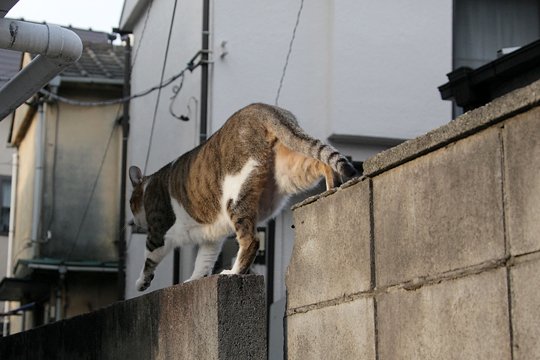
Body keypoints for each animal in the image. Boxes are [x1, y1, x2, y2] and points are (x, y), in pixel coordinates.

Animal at [129, 102, 356, 292]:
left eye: (131, 203)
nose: (133, 221)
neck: (148, 185)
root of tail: (262, 108)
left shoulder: (158, 230)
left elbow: (149, 257)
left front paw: (141, 282)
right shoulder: (211, 238)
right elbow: (203, 260)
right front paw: (193, 280)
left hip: (236, 195)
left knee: (251, 240)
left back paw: (233, 272)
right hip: (291, 164)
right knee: (321, 161)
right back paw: (331, 187)